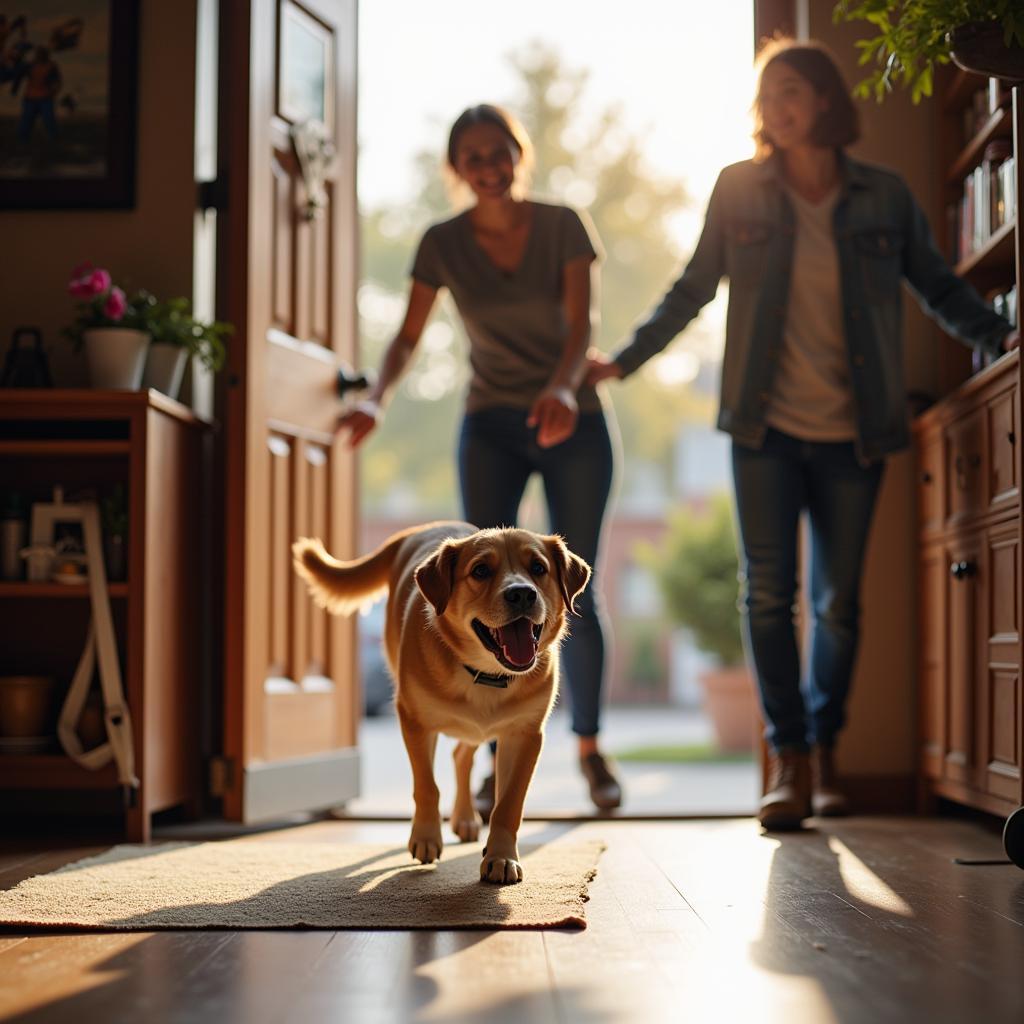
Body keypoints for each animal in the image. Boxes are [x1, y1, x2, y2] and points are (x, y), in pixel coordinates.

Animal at [292, 524, 589, 884]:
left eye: (538, 568)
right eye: (480, 571)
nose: (521, 594)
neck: (485, 674)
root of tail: (422, 529)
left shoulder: (525, 735)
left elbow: (508, 804)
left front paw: (501, 856)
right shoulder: (414, 722)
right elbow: (427, 786)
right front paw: (425, 837)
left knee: (462, 756)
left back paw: (466, 818)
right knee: (455, 759)